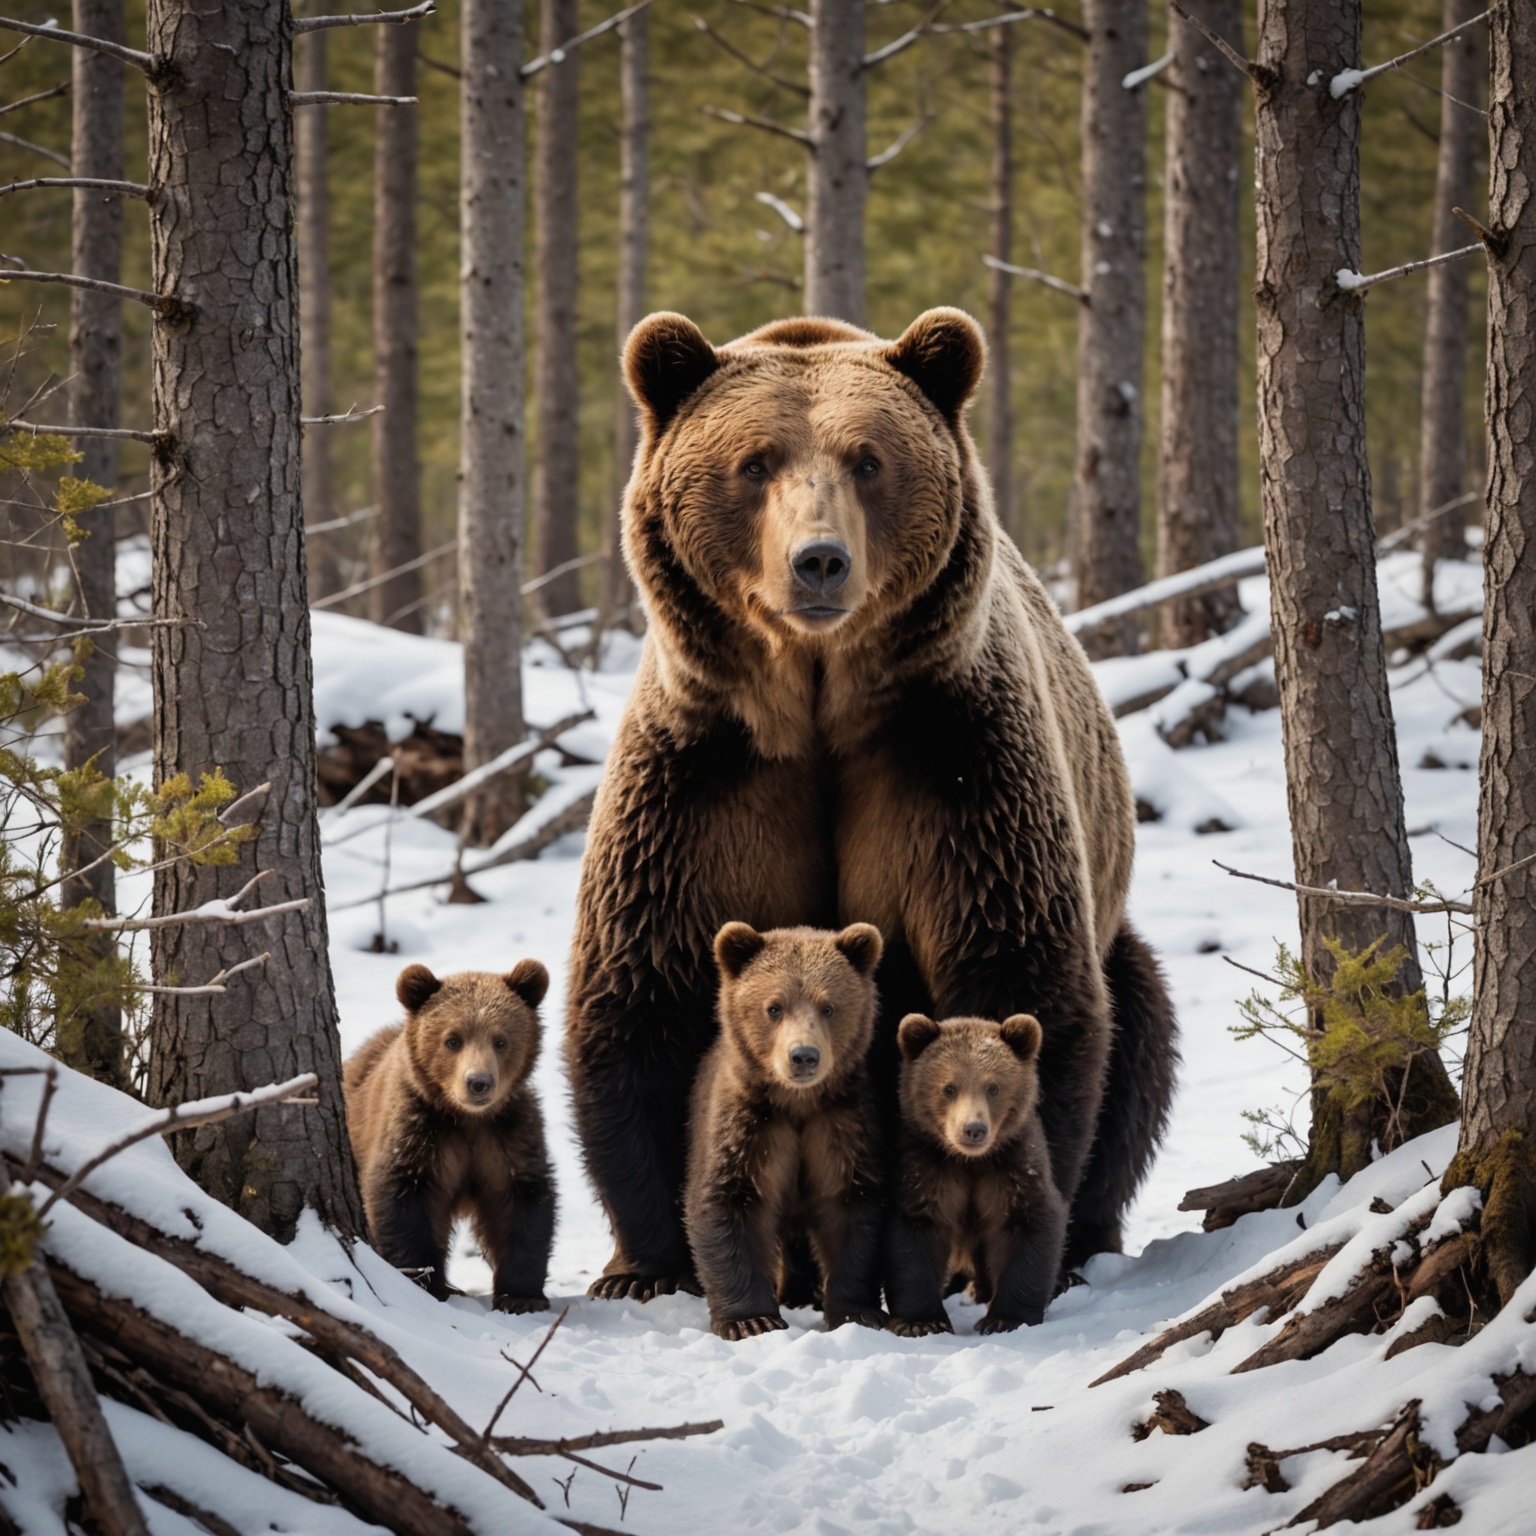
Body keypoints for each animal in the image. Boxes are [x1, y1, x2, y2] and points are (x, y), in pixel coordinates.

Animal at [344, 961, 555, 1312]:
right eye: (453, 1040)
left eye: (501, 1041)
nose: (478, 1082)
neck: (465, 1118)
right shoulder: (420, 1132)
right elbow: (402, 1200)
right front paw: (426, 1283)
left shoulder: (506, 1136)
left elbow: (521, 1200)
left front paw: (521, 1295)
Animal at [685, 921, 887, 1340]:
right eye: (774, 1007)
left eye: (829, 1006)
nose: (803, 1056)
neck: (796, 1103)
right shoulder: (749, 1128)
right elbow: (730, 1203)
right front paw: (751, 1319)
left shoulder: (840, 1127)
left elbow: (852, 1205)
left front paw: (857, 1312)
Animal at [884, 1012, 1067, 1336]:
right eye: (949, 1087)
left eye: (993, 1087)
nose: (973, 1129)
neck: (969, 1162)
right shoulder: (926, 1171)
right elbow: (913, 1235)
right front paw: (920, 1321)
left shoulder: (1011, 1170)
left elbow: (1029, 1225)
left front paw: (1004, 1318)